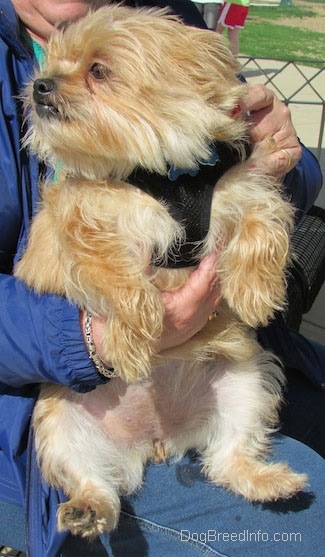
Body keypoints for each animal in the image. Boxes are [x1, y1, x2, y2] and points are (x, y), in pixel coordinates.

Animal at [16, 5, 306, 540]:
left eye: (97, 69)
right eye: (54, 63)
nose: (40, 85)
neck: (165, 172)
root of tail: (155, 438)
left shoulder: (245, 188)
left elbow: (261, 230)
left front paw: (255, 291)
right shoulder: (86, 225)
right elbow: (118, 279)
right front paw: (133, 340)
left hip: (247, 382)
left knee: (228, 457)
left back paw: (270, 481)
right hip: (59, 422)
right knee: (95, 483)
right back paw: (86, 510)